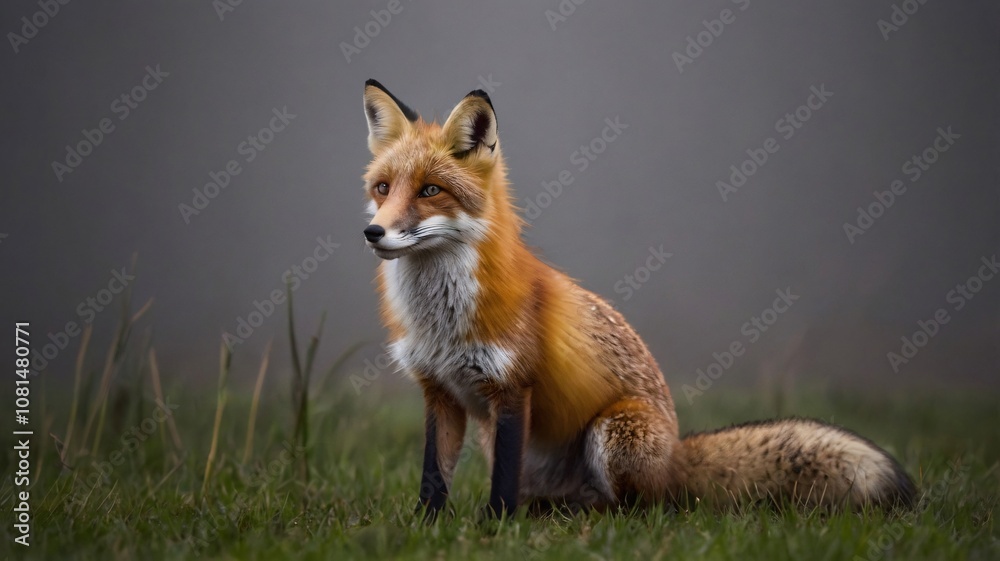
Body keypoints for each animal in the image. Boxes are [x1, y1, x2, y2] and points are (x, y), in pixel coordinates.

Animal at [359, 79, 916, 518]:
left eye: (430, 191)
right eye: (383, 188)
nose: (373, 232)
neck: (441, 321)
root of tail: (676, 456)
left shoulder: (512, 389)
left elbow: (500, 487)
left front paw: (493, 527)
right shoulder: (441, 392)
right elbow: (433, 476)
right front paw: (426, 526)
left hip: (613, 431)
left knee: (642, 510)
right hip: (506, 442)